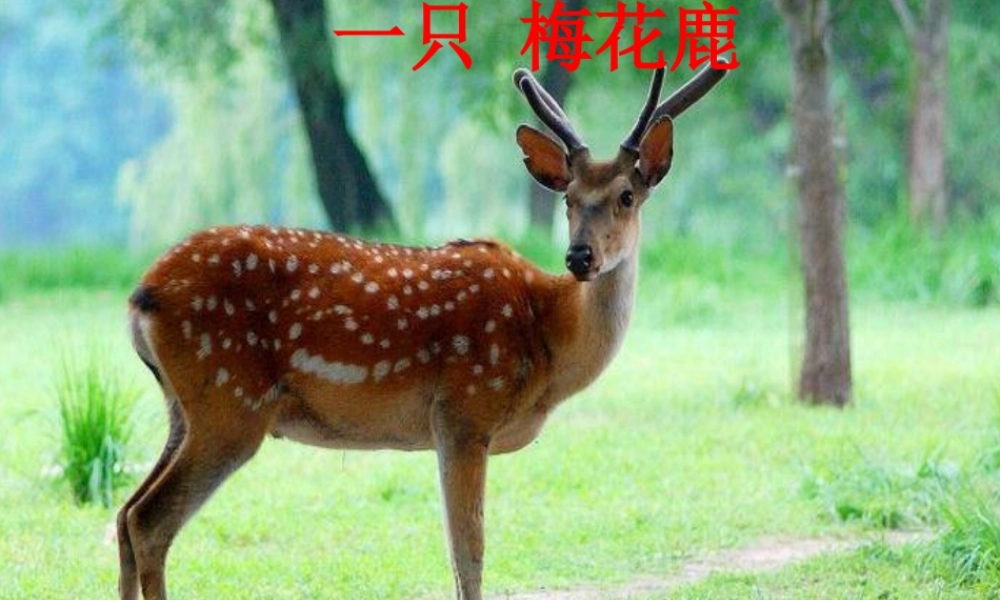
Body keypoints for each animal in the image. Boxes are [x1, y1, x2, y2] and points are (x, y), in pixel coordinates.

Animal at [116, 62, 727, 600]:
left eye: (627, 195)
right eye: (569, 199)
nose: (580, 257)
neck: (548, 345)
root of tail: (140, 297)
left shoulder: (447, 426)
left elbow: (458, 551)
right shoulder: (464, 409)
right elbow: (469, 552)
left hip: (183, 407)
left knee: (123, 513)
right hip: (228, 400)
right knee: (149, 519)